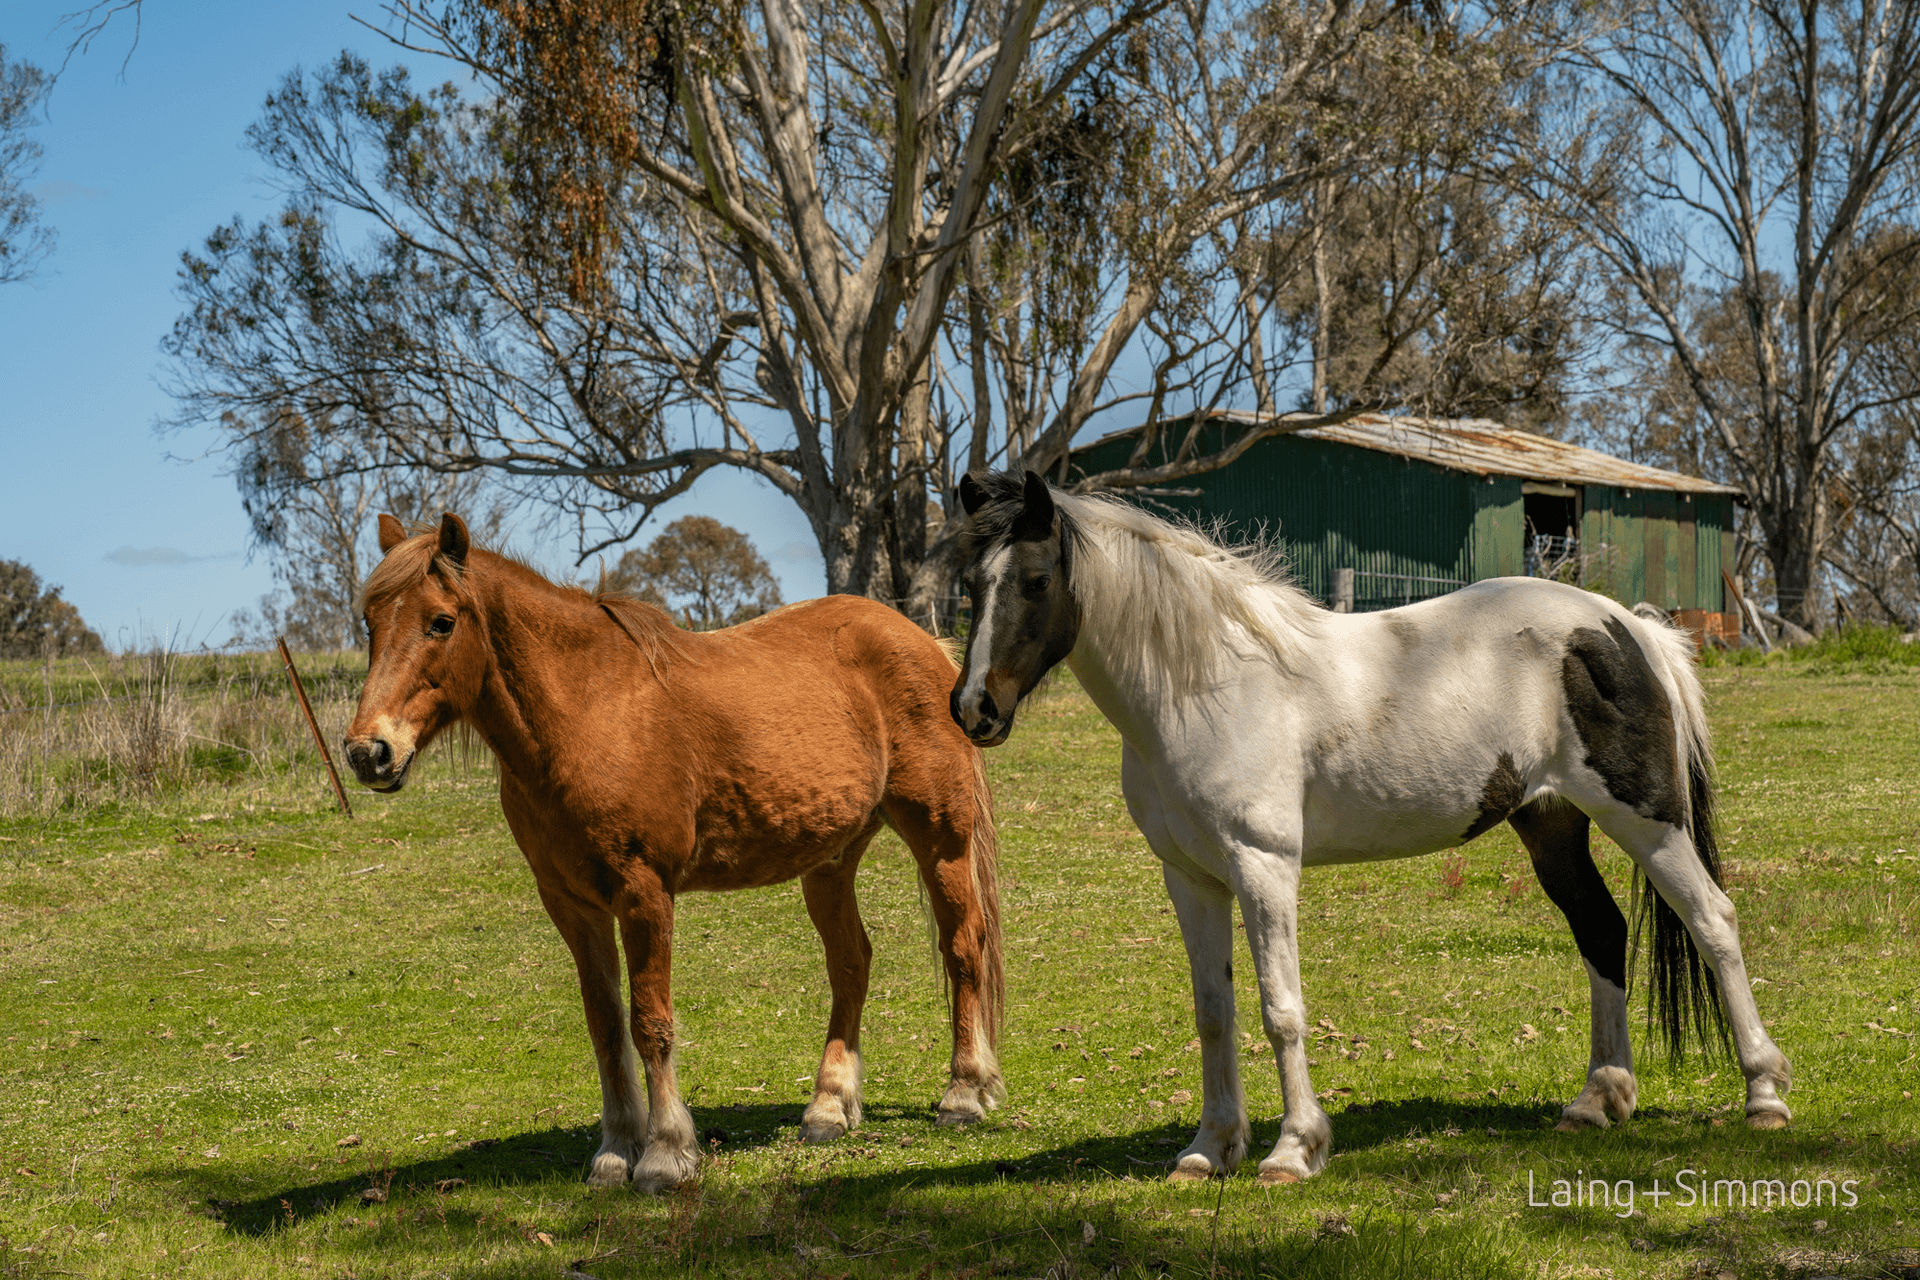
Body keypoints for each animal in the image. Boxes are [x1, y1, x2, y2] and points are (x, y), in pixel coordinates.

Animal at [343, 514, 1006, 1197]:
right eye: (370, 622)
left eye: (441, 621)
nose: (370, 751)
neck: (589, 712)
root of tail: (928, 644)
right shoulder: (571, 905)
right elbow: (606, 1027)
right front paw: (615, 1152)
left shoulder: (643, 892)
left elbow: (649, 1022)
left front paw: (664, 1154)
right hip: (829, 861)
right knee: (852, 963)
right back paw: (828, 1107)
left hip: (941, 839)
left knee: (963, 947)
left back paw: (964, 1093)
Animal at [952, 474, 1789, 1189]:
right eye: (970, 584)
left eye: (1036, 581)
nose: (973, 710)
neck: (1207, 687)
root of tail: (1627, 629)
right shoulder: (1190, 876)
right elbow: (1214, 1012)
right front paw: (1209, 1150)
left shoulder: (1263, 868)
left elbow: (1279, 1009)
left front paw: (1293, 1150)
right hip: (1552, 824)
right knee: (1602, 930)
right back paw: (1597, 1101)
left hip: (1645, 821)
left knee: (1713, 921)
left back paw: (1764, 1094)